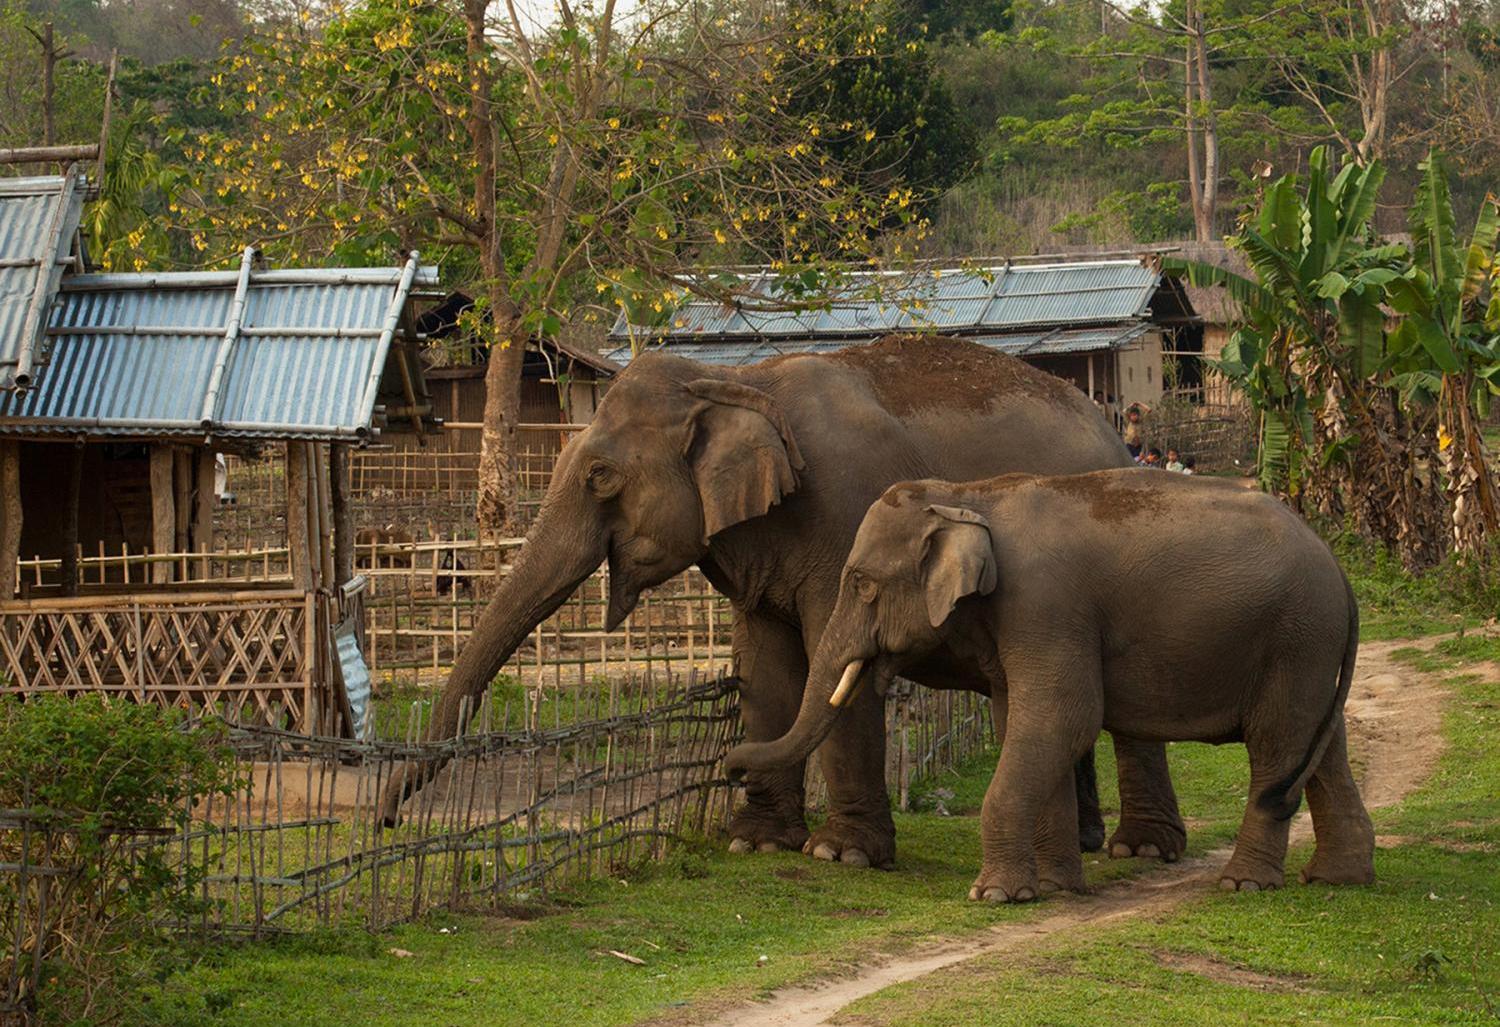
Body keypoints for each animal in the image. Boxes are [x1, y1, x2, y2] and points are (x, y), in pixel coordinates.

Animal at [381, 335, 1188, 863]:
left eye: (601, 476)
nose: (388, 819)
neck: (735, 380)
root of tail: (1112, 429)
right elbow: (766, 666)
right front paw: (757, 841)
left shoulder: (850, 513)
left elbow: (840, 669)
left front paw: (840, 855)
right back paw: (1086, 842)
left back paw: (1141, 850)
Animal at [720, 467, 1374, 899]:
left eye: (860, 583)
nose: (728, 764)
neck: (969, 497)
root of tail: (1342, 571)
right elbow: (1025, 724)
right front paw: (1055, 888)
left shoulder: (1046, 606)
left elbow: (1063, 718)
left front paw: (994, 895)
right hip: (1312, 650)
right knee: (1320, 751)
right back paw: (1336, 878)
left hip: (1295, 638)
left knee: (1276, 748)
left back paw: (1243, 884)